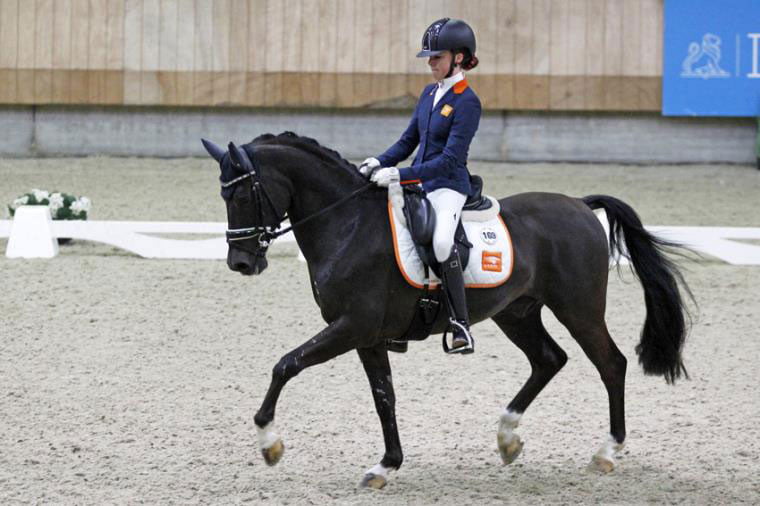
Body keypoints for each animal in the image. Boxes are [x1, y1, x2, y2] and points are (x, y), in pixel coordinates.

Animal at [201, 132, 691, 489]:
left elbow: (286, 365)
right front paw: (385, 466)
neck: (348, 225)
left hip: (579, 308)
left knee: (611, 363)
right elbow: (384, 397)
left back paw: (606, 452)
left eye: (240, 196)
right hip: (517, 312)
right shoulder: (367, 336)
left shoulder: (352, 326)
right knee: (549, 359)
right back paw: (507, 439)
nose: (241, 263)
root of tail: (580, 205)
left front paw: (269, 444)